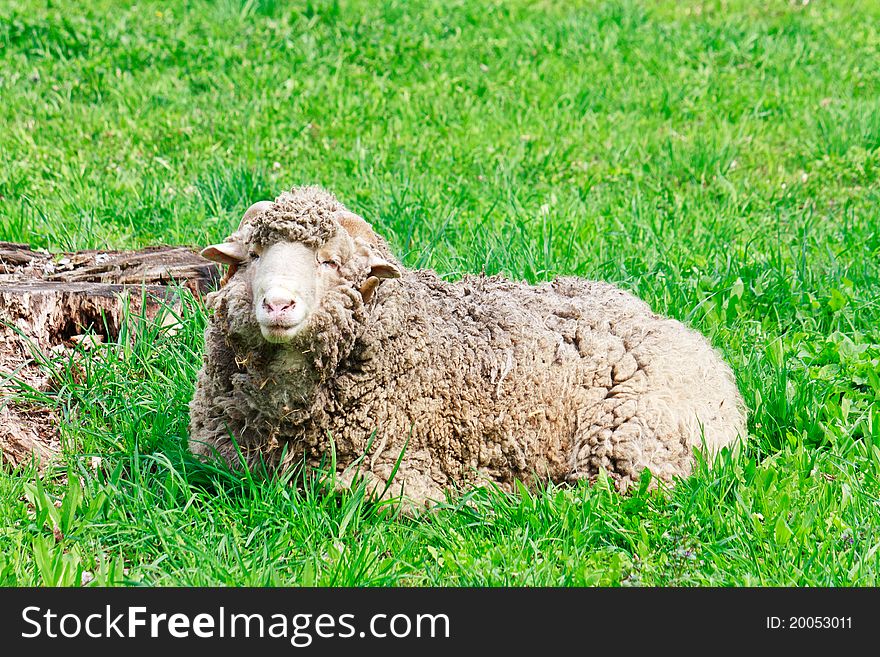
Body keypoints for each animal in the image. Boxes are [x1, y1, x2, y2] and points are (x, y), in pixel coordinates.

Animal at [189, 184, 744, 508]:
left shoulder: (400, 466)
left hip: (627, 439)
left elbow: (343, 489)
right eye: (253, 255)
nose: (278, 304)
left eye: (330, 262)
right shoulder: (217, 455)